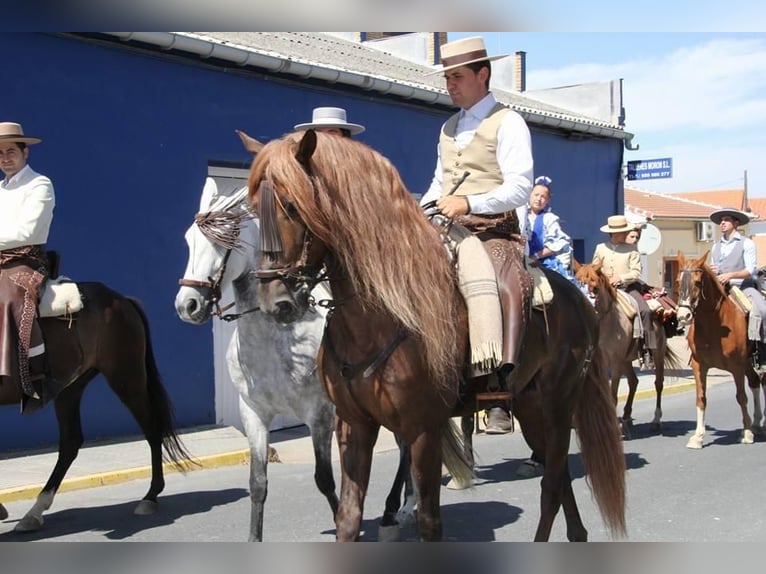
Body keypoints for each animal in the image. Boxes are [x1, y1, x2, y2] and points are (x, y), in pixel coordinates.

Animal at [0, 284, 192, 532]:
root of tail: (123, 300)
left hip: (126, 379)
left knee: (151, 429)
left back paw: (150, 497)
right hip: (70, 388)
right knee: (70, 443)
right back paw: (34, 512)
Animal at [249, 130, 628, 544]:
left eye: (291, 205)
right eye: (253, 209)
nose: (274, 300)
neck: (379, 316)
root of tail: (581, 301)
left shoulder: (422, 429)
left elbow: (429, 520)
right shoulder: (353, 425)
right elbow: (348, 518)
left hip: (558, 406)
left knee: (551, 486)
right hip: (531, 409)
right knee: (558, 481)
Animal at [572, 258, 688, 438]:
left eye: (595, 287)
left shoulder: (614, 363)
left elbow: (612, 395)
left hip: (656, 353)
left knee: (658, 383)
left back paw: (655, 421)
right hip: (626, 359)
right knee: (634, 381)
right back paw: (626, 418)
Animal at [680, 253, 766, 450]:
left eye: (697, 283)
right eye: (678, 281)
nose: (683, 316)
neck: (714, 325)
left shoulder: (736, 366)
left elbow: (741, 397)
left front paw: (747, 433)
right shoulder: (699, 365)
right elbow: (701, 398)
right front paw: (698, 436)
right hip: (747, 362)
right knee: (755, 381)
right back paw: (757, 423)